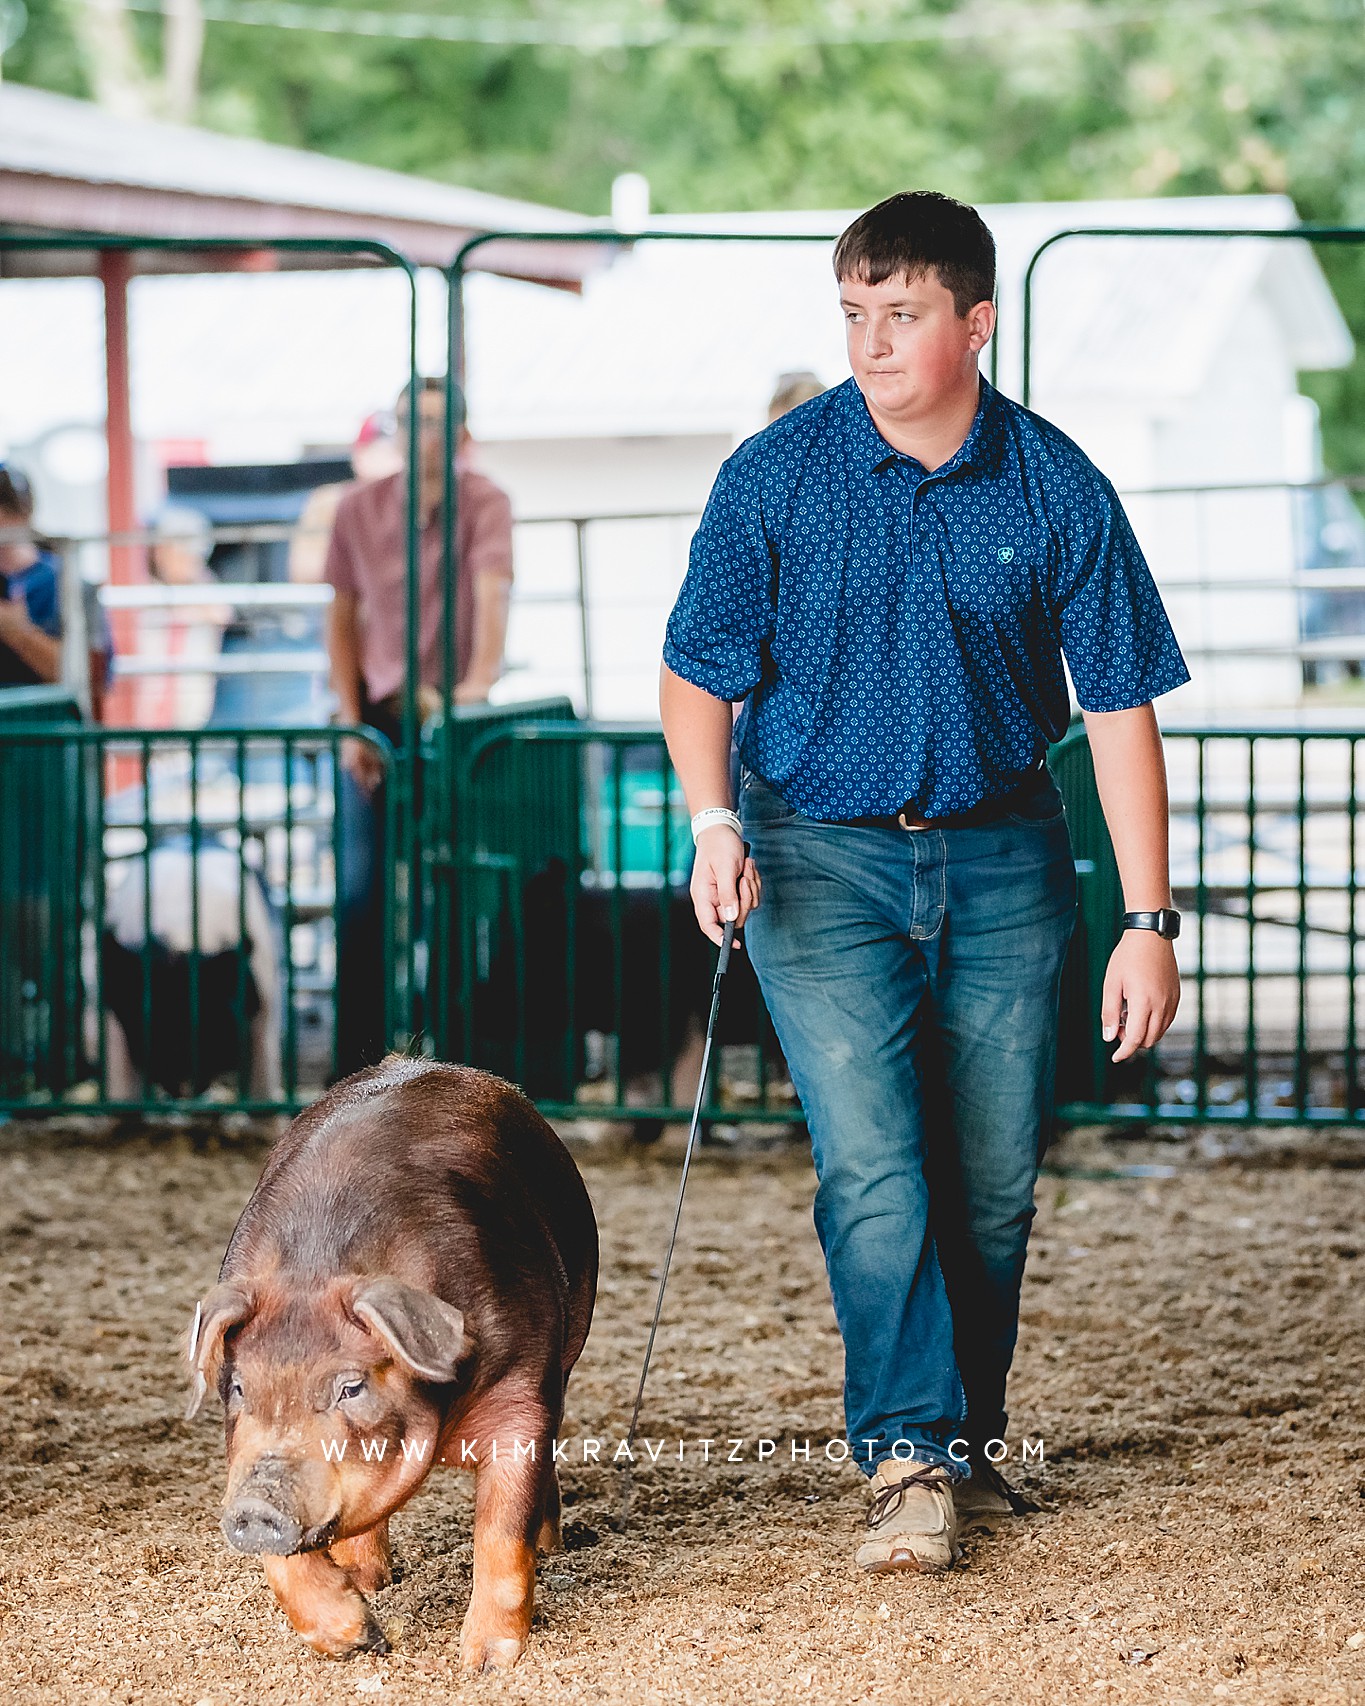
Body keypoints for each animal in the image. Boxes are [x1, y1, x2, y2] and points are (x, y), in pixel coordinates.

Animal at [185, 1057, 597, 1671]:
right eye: (236, 1388)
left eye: (351, 1388)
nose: (257, 1506)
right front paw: (366, 1640)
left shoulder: (522, 1386)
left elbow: (501, 1527)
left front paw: (484, 1663)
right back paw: (368, 1578)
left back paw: (553, 1550)